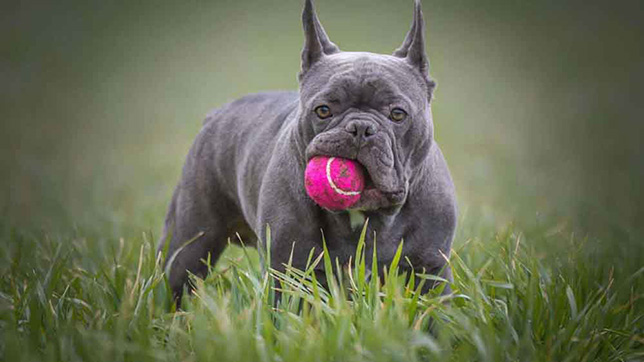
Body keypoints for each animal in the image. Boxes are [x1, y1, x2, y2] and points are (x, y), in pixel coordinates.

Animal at [158, 0, 456, 300]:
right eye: (323, 110)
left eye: (397, 114)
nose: (360, 127)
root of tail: (216, 114)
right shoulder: (289, 271)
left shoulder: (430, 269)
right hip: (190, 240)